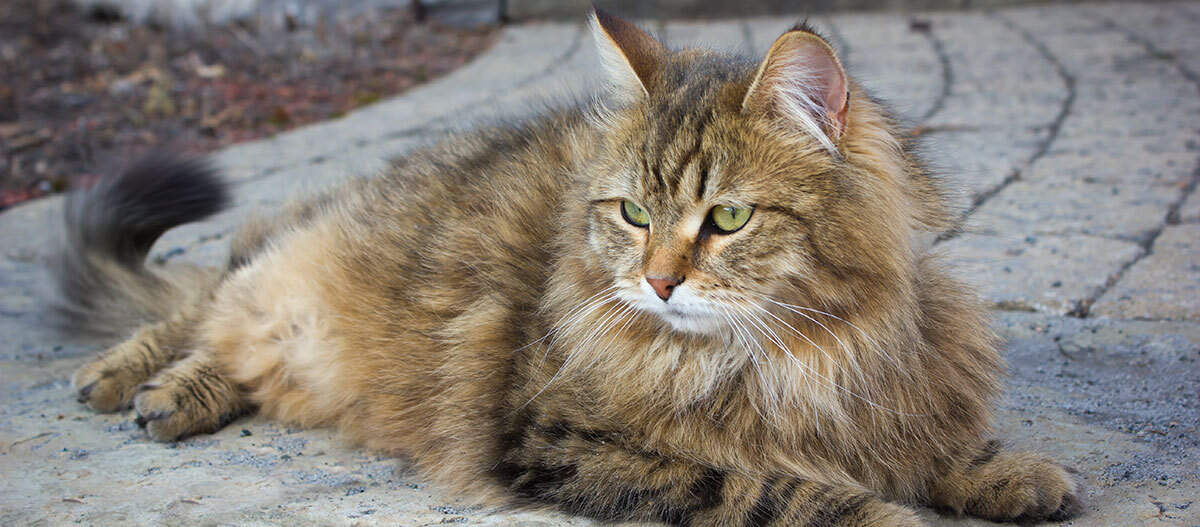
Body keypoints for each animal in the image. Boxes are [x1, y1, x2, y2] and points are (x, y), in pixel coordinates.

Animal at [56, 8, 1084, 527]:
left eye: (729, 217)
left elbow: (939, 446)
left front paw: (1008, 475)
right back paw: (131, 383)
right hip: (286, 277)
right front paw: (883, 513)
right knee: (202, 305)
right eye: (634, 213)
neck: (796, 354)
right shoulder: (562, 438)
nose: (660, 282)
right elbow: (768, 487)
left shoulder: (895, 382)